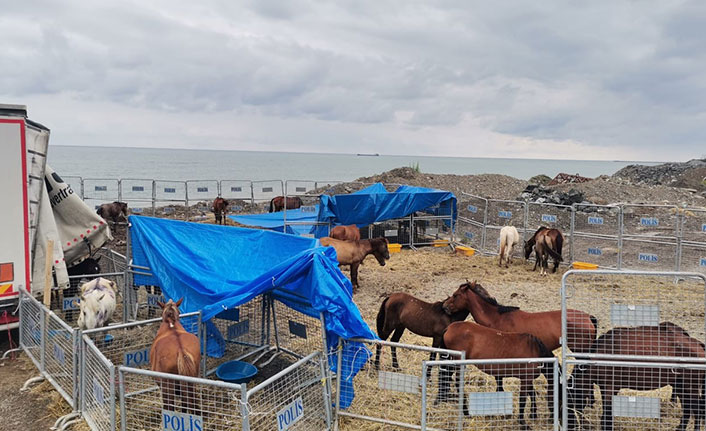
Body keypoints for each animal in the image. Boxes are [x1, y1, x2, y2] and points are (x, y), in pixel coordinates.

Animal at [568, 324, 704, 431]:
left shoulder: (609, 389)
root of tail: (698, 344)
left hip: (690, 387)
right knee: (687, 410)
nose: (571, 425)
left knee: (696, 410)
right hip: (681, 386)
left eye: (570, 400)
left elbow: (607, 415)